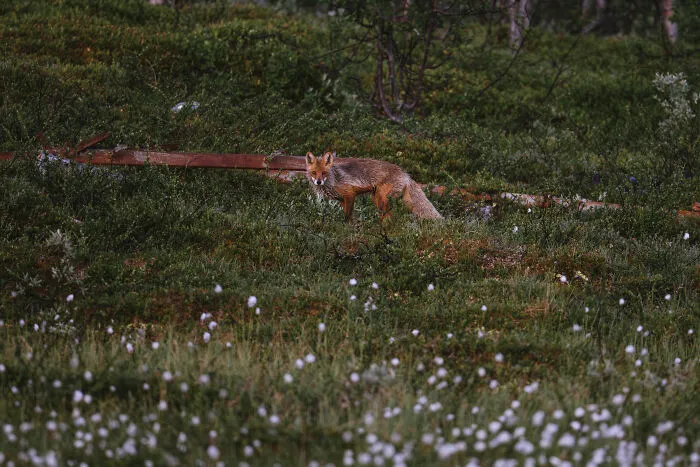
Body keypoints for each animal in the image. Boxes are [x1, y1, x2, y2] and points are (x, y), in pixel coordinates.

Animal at [305, 151, 443, 221]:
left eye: (324, 172)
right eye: (314, 173)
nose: (318, 182)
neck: (333, 180)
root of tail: (405, 173)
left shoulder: (349, 194)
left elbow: (348, 217)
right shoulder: (341, 200)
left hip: (382, 199)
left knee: (390, 216)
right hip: (377, 199)